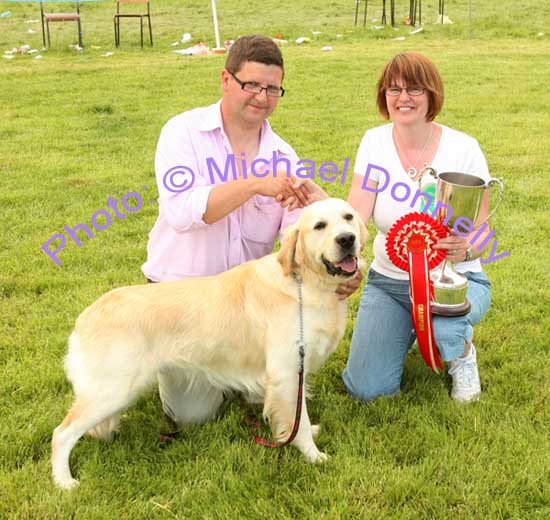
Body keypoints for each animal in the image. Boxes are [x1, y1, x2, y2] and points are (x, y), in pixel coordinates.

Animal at [51, 197, 368, 490]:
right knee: (61, 434)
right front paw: (313, 455)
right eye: (319, 226)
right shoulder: (287, 374)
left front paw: (308, 433)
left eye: (348, 217)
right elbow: (296, 422)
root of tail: (84, 318)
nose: (347, 239)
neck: (304, 283)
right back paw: (64, 482)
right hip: (112, 390)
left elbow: (298, 418)